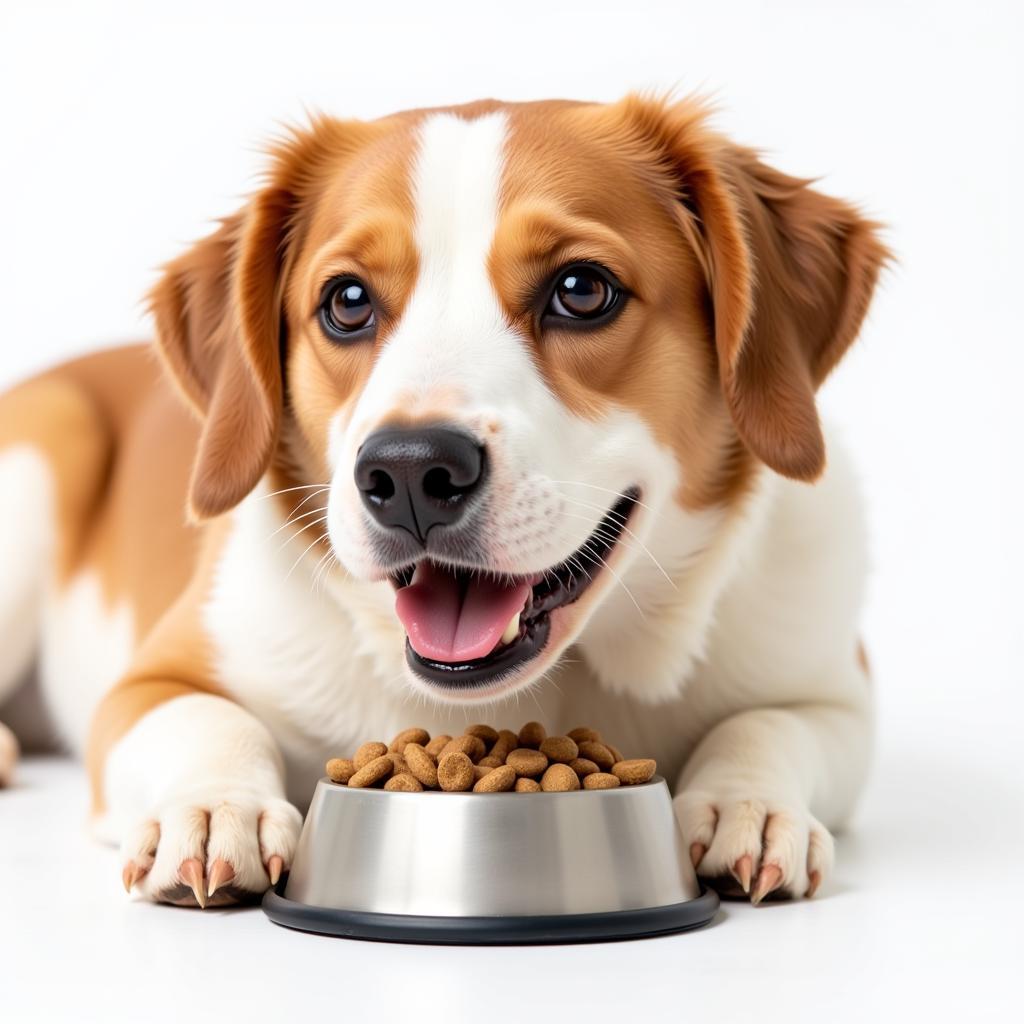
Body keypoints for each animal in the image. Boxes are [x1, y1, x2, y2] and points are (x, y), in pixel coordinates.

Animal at [0, 96, 884, 905]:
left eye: (581, 289)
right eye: (347, 301)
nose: (410, 473)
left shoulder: (836, 689)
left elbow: (769, 722)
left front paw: (748, 804)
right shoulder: (150, 684)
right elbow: (210, 719)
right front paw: (219, 806)